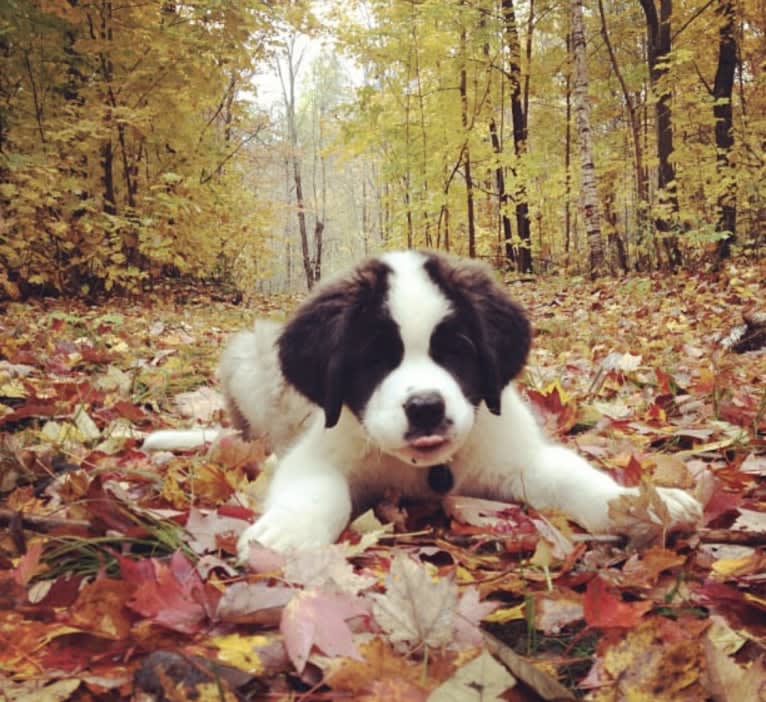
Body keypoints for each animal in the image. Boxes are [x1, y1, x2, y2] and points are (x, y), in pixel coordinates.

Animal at [142, 250, 704, 560]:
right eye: (374, 359)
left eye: (456, 351)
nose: (427, 407)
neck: (422, 471)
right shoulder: (317, 449)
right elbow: (320, 489)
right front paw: (288, 533)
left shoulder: (516, 455)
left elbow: (573, 475)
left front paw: (642, 505)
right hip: (246, 355)